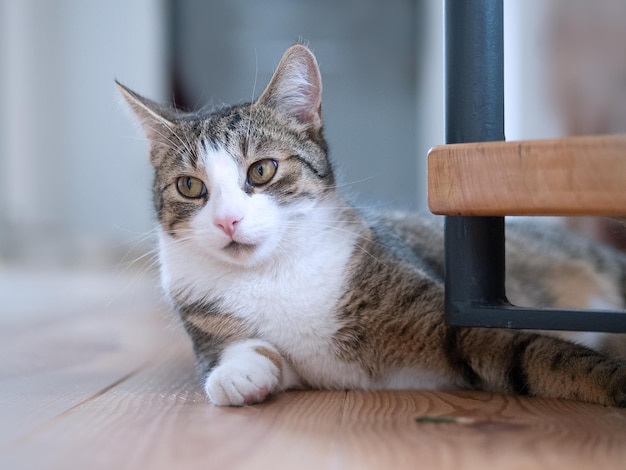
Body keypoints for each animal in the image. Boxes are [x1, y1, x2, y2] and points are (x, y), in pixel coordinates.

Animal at [118, 44, 624, 408]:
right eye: (189, 186)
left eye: (261, 170)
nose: (227, 220)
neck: (272, 274)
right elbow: (237, 352)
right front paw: (238, 372)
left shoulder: (452, 320)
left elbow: (538, 353)